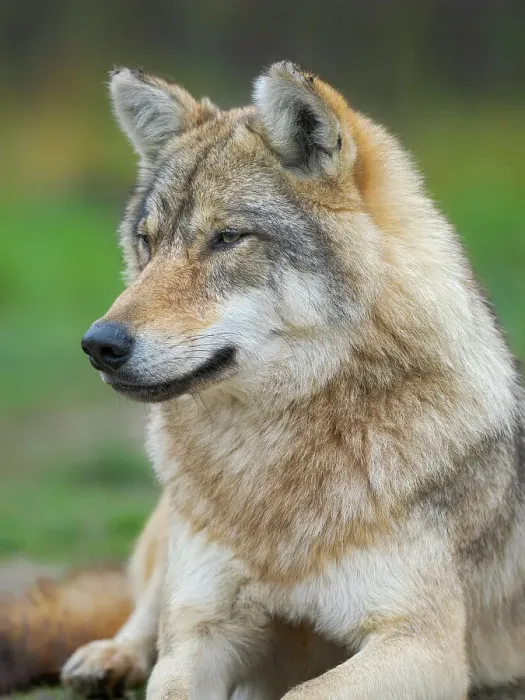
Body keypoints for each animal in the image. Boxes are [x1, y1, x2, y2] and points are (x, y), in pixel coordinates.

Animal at [59, 62, 524, 699]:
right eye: (147, 242)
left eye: (227, 238)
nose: (99, 345)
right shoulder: (207, 624)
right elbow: (171, 676)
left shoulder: (422, 643)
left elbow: (303, 690)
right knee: (145, 614)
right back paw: (106, 659)